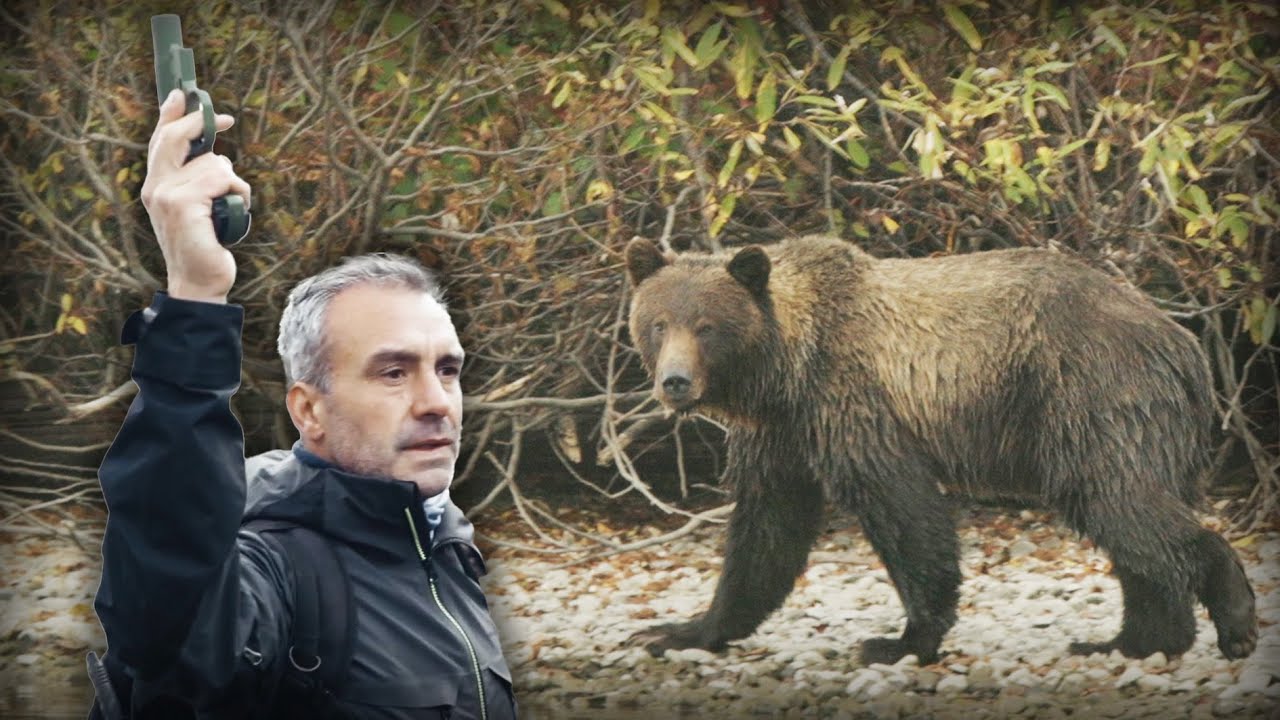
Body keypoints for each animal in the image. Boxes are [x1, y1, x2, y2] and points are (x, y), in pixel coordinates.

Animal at [622, 234, 1257, 665]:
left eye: (706, 326)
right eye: (658, 323)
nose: (675, 382)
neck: (786, 369)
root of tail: (1182, 339)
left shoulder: (851, 402)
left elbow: (902, 509)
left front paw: (900, 640)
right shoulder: (781, 435)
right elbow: (767, 532)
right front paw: (679, 630)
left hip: (1090, 394)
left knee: (1116, 500)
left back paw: (1233, 618)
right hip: (1142, 422)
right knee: (1132, 520)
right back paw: (1131, 641)